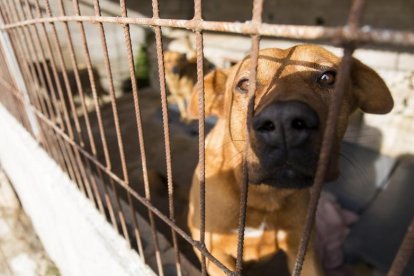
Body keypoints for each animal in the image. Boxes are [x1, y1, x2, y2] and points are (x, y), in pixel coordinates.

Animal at [186, 44, 392, 274]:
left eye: (327, 77)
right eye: (244, 84)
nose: (283, 120)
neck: (264, 195)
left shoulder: (303, 252)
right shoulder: (213, 252)